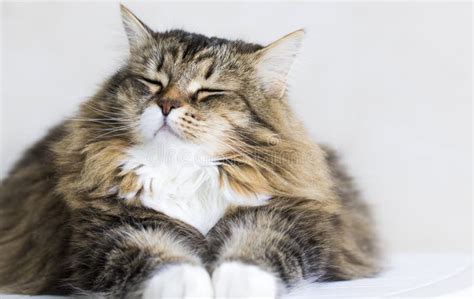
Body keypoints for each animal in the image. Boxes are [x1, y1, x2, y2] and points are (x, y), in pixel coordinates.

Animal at [0, 5, 380, 299]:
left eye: (208, 92)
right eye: (153, 82)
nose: (167, 104)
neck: (184, 169)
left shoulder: (284, 218)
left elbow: (255, 253)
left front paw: (233, 286)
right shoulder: (113, 230)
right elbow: (166, 263)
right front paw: (194, 286)